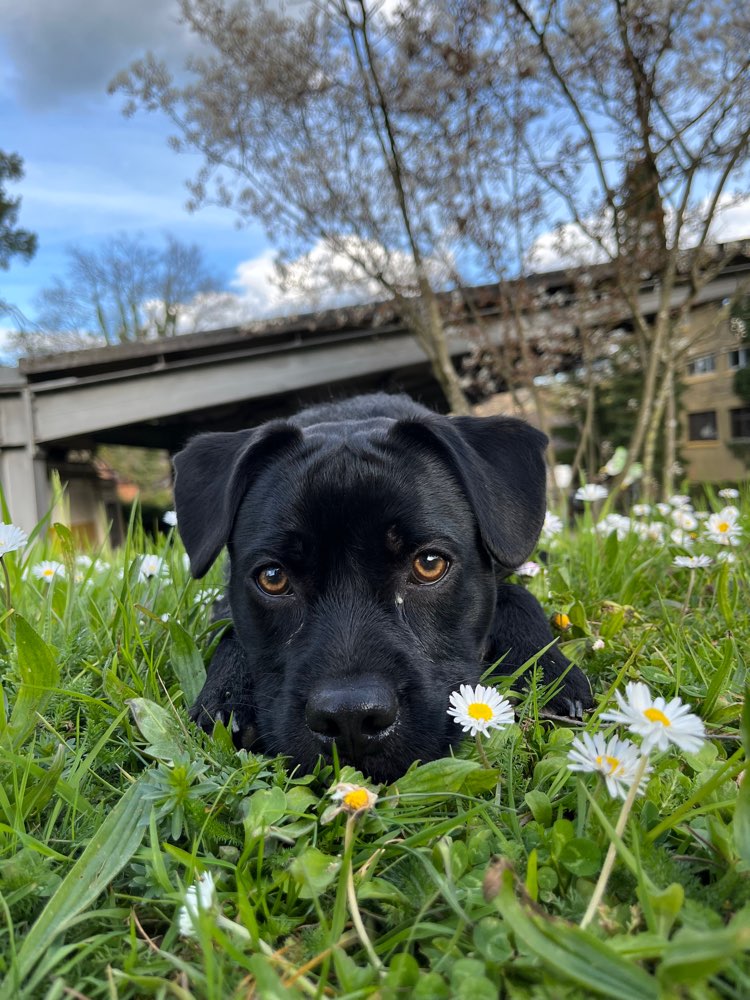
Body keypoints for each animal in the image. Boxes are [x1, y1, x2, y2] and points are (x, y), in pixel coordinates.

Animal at [175, 390, 592, 780]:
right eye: (272, 578)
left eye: (429, 564)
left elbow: (518, 595)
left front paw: (552, 674)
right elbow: (228, 630)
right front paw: (226, 696)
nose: (350, 719)